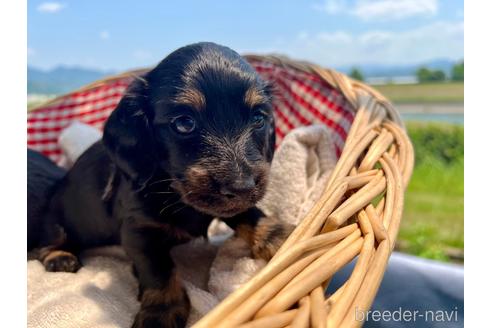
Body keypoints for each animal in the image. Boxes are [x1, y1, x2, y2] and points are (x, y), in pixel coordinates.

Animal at [34, 41, 294, 328]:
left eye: (258, 118)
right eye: (184, 123)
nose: (242, 186)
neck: (173, 190)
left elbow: (249, 213)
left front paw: (277, 234)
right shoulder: (139, 232)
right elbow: (158, 270)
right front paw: (161, 311)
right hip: (56, 222)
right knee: (46, 242)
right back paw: (60, 257)